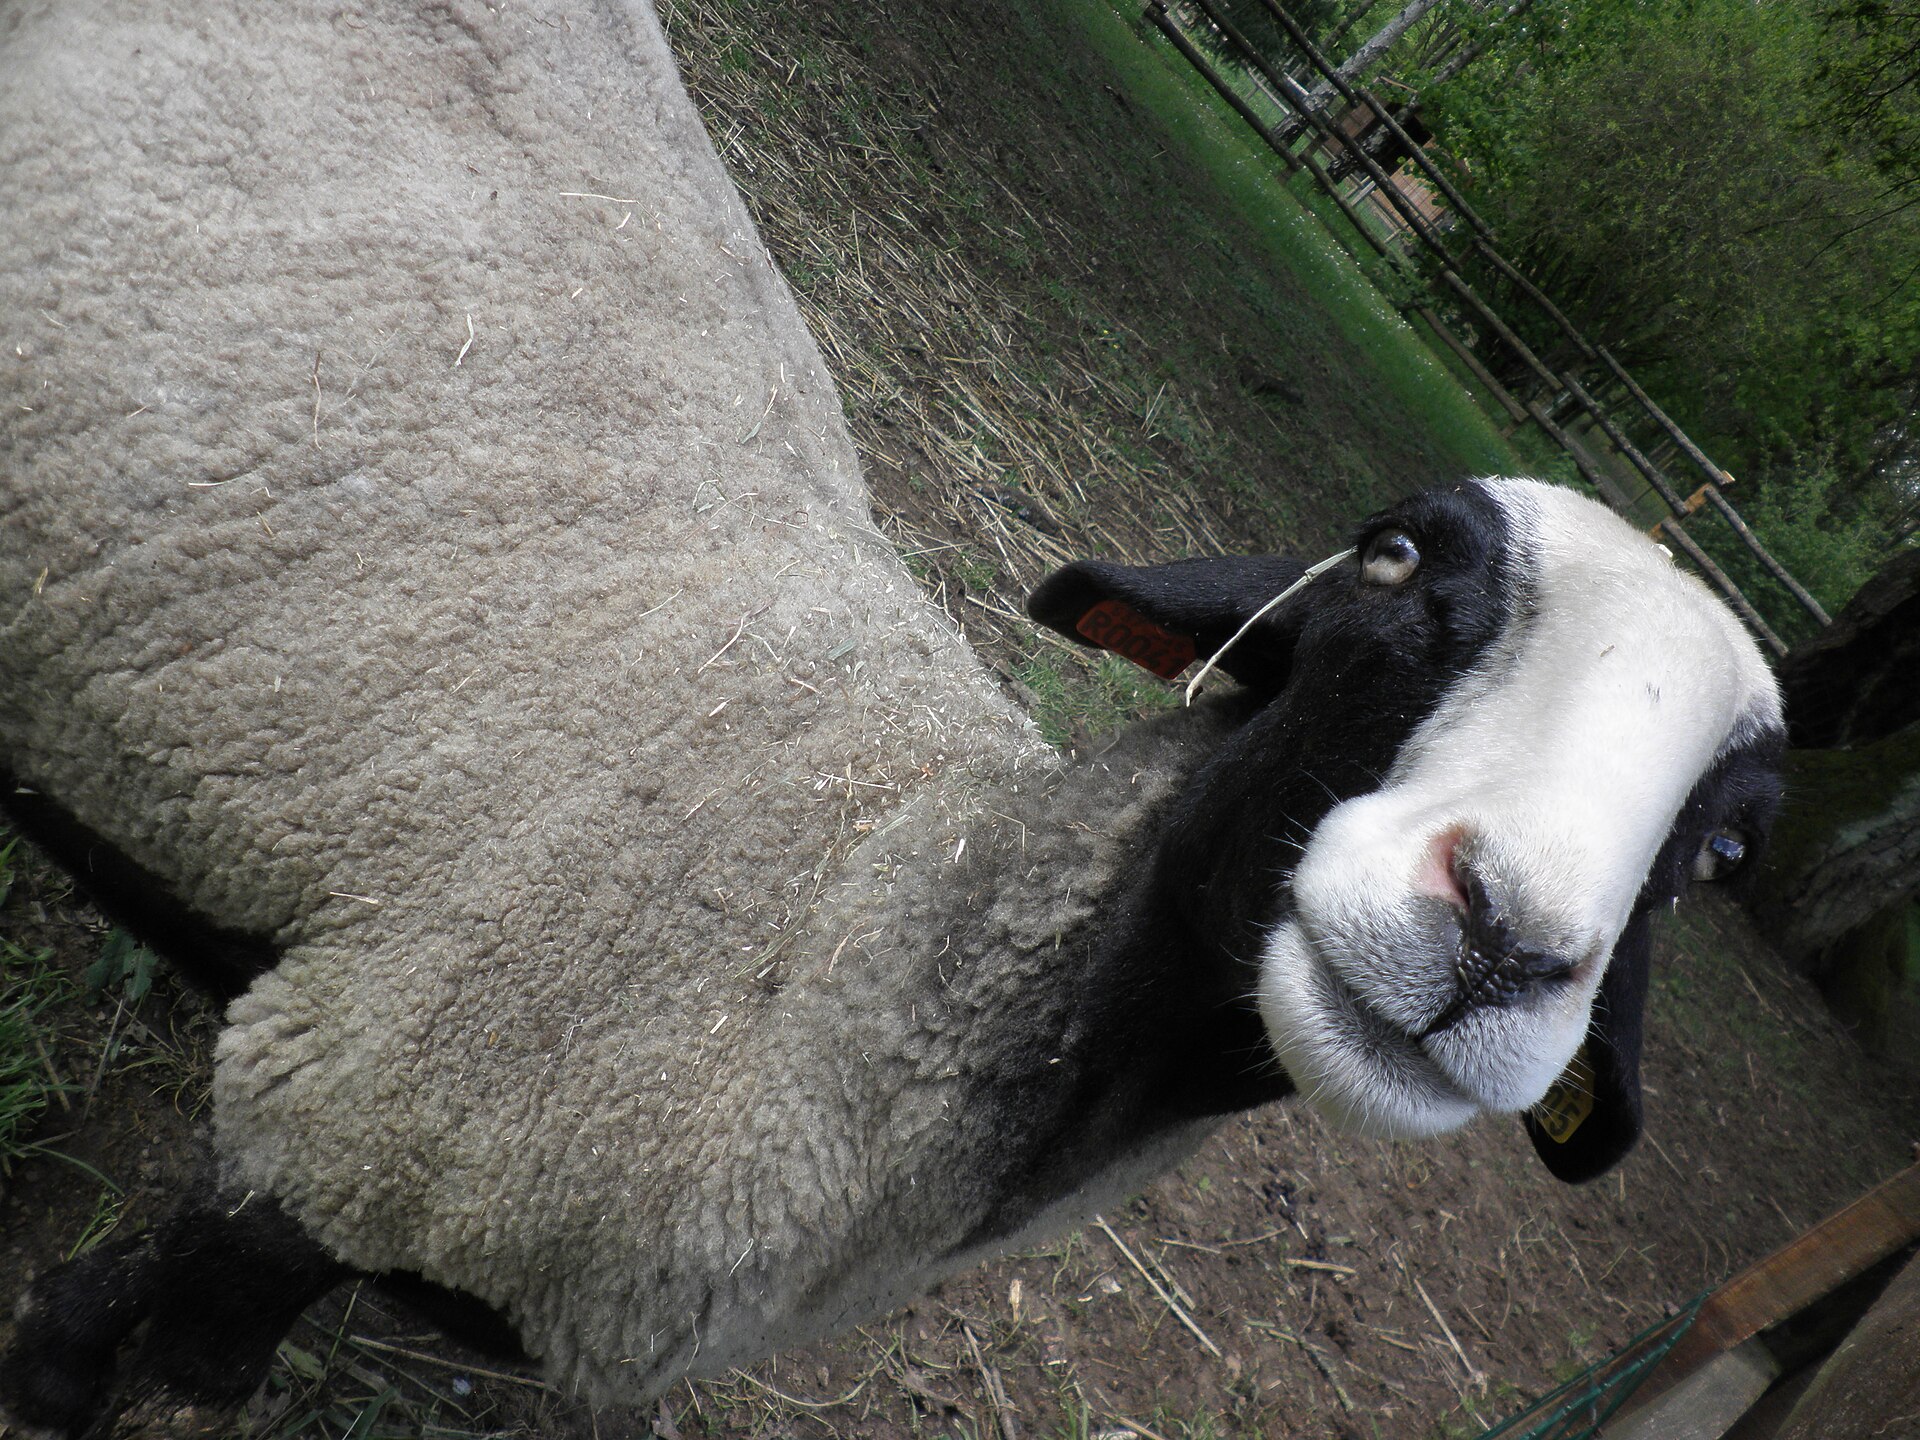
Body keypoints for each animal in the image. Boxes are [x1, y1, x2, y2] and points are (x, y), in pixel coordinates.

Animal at [0, 0, 1786, 1433]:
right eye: (1395, 555)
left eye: (1725, 849)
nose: (1497, 937)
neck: (846, 939)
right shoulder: (339, 1117)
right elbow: (130, 1331)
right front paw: (54, 1361)